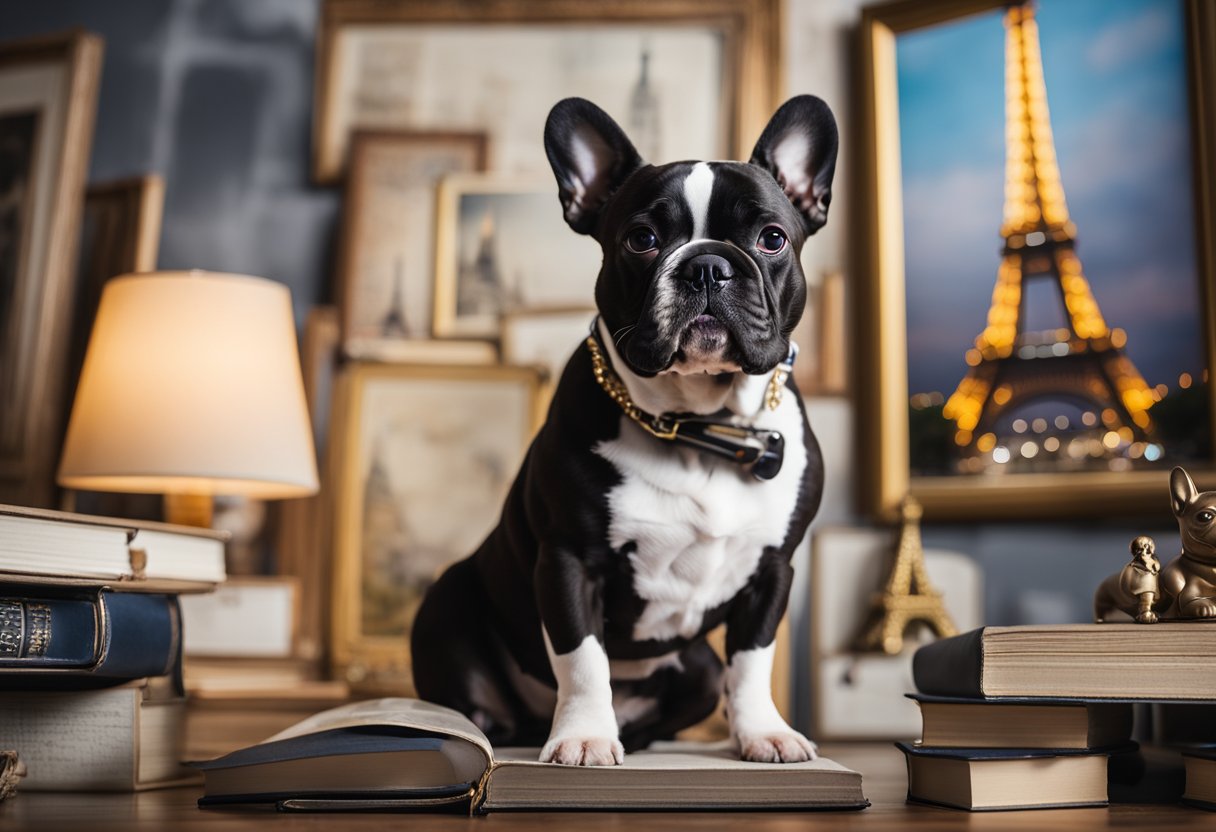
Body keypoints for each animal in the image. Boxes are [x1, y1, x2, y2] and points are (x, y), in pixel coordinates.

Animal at [413, 96, 841, 768]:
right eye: (642, 240)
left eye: (772, 239)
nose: (708, 266)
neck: (699, 427)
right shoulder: (568, 561)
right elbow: (583, 659)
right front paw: (585, 736)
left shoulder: (773, 570)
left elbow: (752, 661)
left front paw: (763, 732)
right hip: (446, 602)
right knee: (476, 697)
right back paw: (497, 729)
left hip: (696, 669)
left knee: (694, 690)